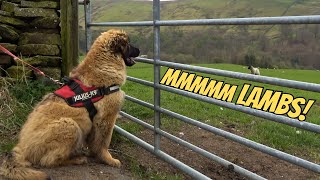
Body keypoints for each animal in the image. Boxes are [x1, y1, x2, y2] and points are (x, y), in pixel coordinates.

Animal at [0, 28, 139, 179]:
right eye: (128, 44)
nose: (139, 49)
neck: (104, 63)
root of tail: (22, 148)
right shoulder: (106, 118)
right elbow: (104, 142)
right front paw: (108, 159)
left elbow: (94, 141)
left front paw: (94, 154)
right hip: (70, 125)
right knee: (49, 160)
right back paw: (76, 159)